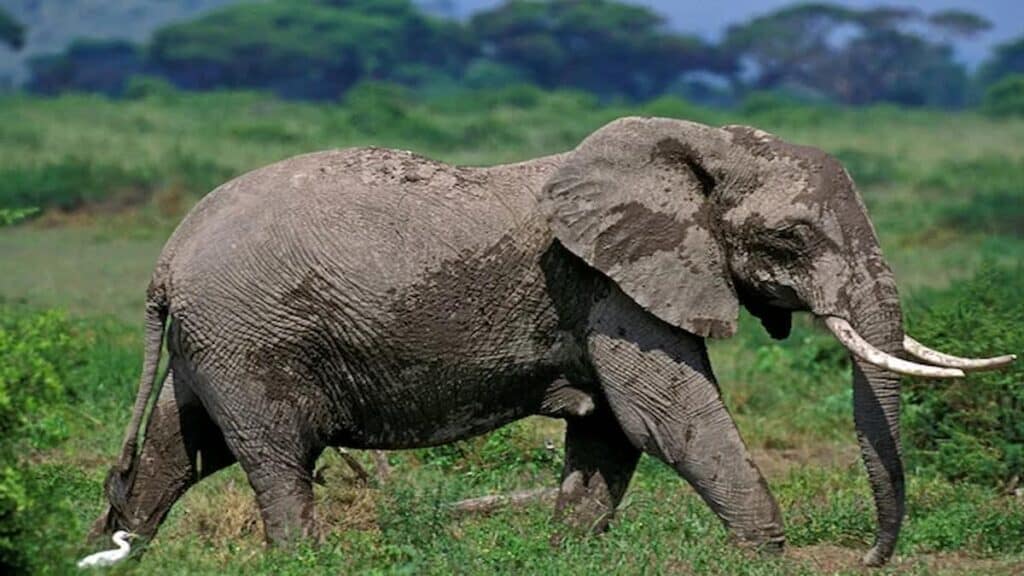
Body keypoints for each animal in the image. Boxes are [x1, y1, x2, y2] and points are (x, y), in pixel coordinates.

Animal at [90, 116, 1015, 566]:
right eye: (788, 239)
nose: (869, 558)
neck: (699, 147)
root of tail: (166, 260)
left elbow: (610, 432)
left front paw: (563, 553)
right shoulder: (606, 284)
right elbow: (666, 417)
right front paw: (767, 559)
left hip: (217, 338)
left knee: (180, 446)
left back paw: (112, 549)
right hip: (251, 333)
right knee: (278, 454)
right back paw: (305, 561)